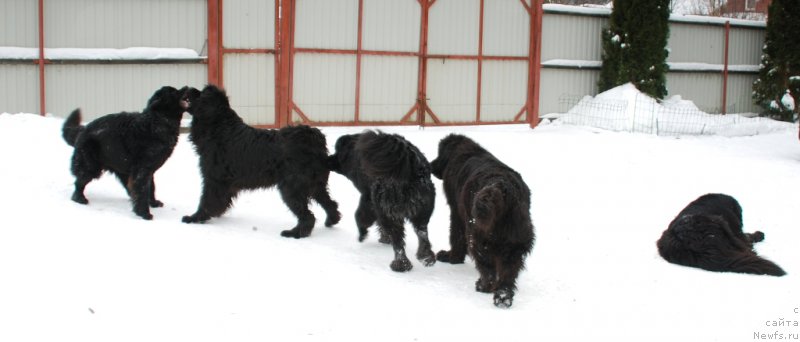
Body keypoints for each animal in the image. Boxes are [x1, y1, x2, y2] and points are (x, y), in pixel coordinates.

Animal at [61, 85, 189, 219]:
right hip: (91, 167)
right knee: (79, 182)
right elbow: (143, 189)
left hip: (121, 169)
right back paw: (79, 198)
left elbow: (151, 188)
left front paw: (153, 203)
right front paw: (144, 213)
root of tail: (83, 130)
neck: (157, 121)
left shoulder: (149, 170)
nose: (187, 87)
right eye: (173, 92)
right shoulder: (142, 170)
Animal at [180, 85, 340, 238]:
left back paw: (294, 233)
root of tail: (315, 140)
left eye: (201, 93)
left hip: (292, 187)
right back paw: (331, 221)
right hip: (316, 185)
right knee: (331, 203)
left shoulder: (213, 179)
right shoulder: (224, 183)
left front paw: (195, 218)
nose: (187, 87)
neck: (219, 127)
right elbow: (219, 200)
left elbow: (206, 200)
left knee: (308, 216)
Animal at [326, 131, 434, 272]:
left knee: (398, 239)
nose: (327, 159)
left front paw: (363, 234)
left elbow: (360, 216)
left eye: (338, 152)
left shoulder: (368, 197)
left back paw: (401, 264)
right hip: (422, 208)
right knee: (422, 232)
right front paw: (384, 237)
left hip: (387, 207)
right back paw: (426, 257)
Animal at [428, 134, 536, 308]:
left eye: (439, 154)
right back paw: (503, 296)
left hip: (477, 234)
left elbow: (456, 235)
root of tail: (500, 187)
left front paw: (452, 257)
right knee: (508, 272)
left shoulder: (456, 211)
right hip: (516, 239)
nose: (430, 165)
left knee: (487, 266)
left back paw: (483, 286)